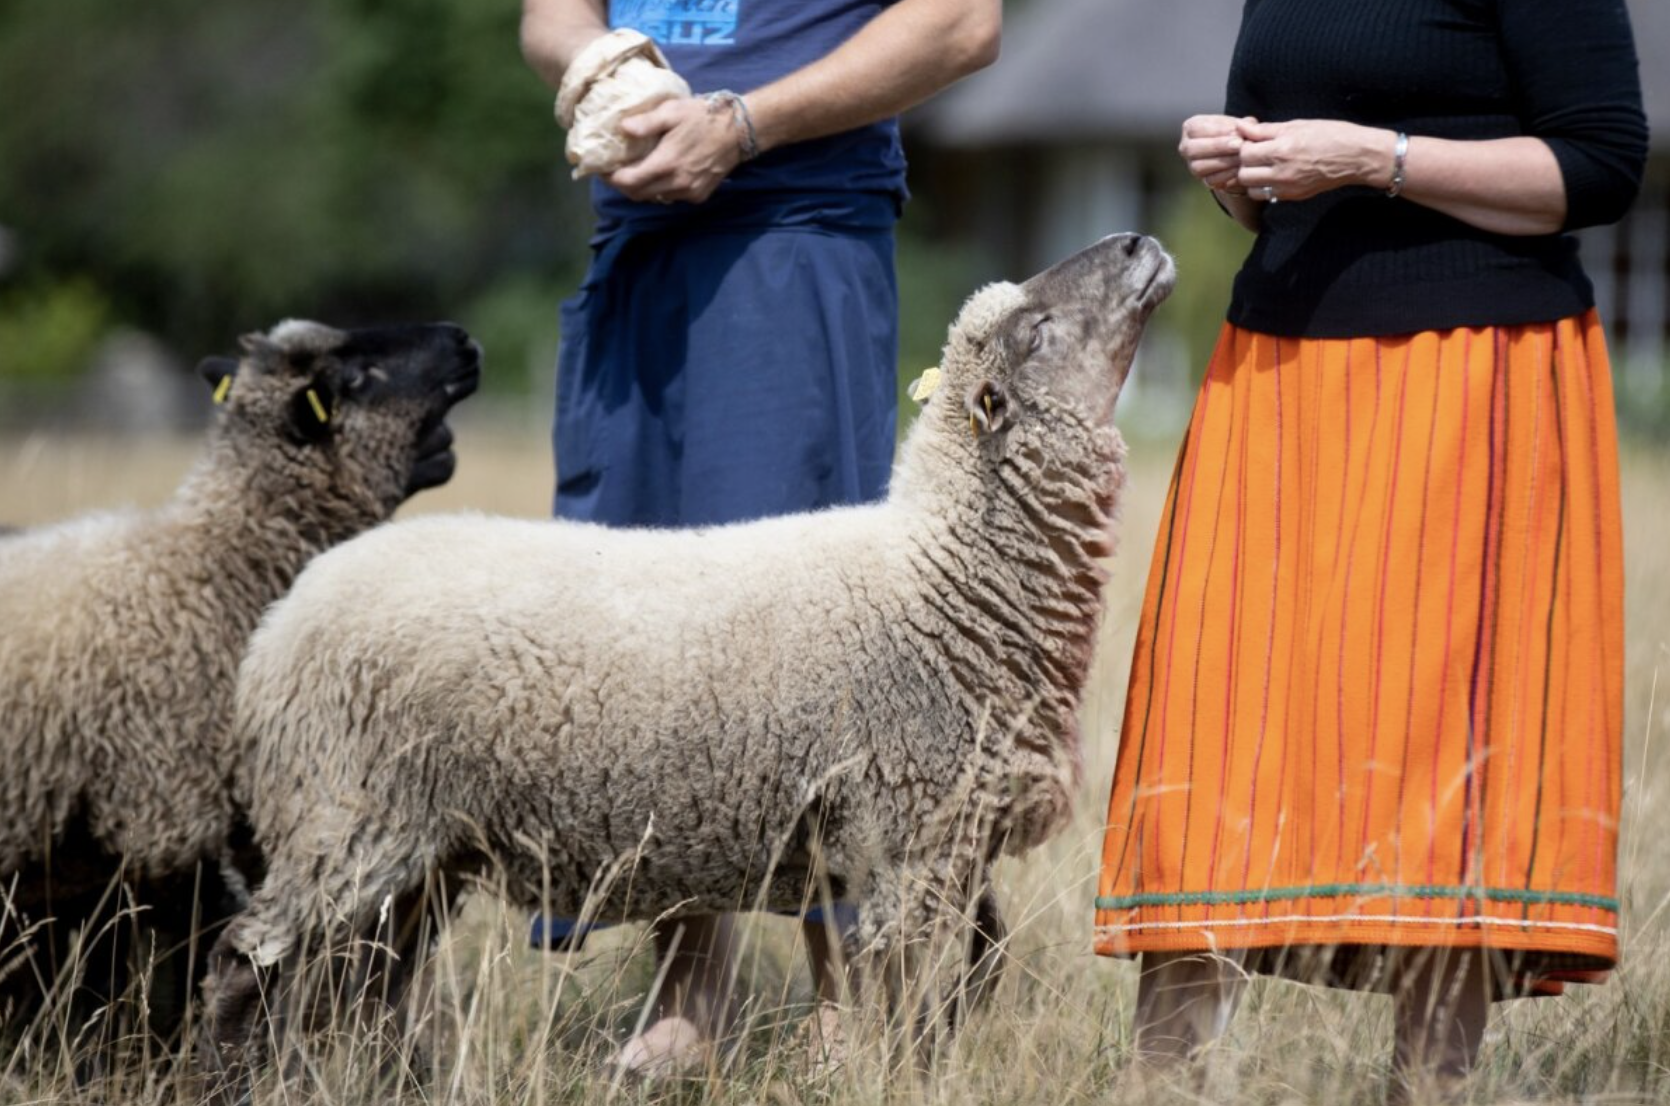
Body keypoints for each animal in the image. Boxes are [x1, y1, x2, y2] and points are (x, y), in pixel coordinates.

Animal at [205, 235, 1175, 1075]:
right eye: (1035, 333)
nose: (1135, 244)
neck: (944, 578)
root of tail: (279, 624)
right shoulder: (909, 840)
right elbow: (906, 997)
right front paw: (896, 1076)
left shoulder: (953, 837)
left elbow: (976, 974)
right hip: (343, 819)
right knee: (248, 976)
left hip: (416, 856)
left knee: (361, 988)